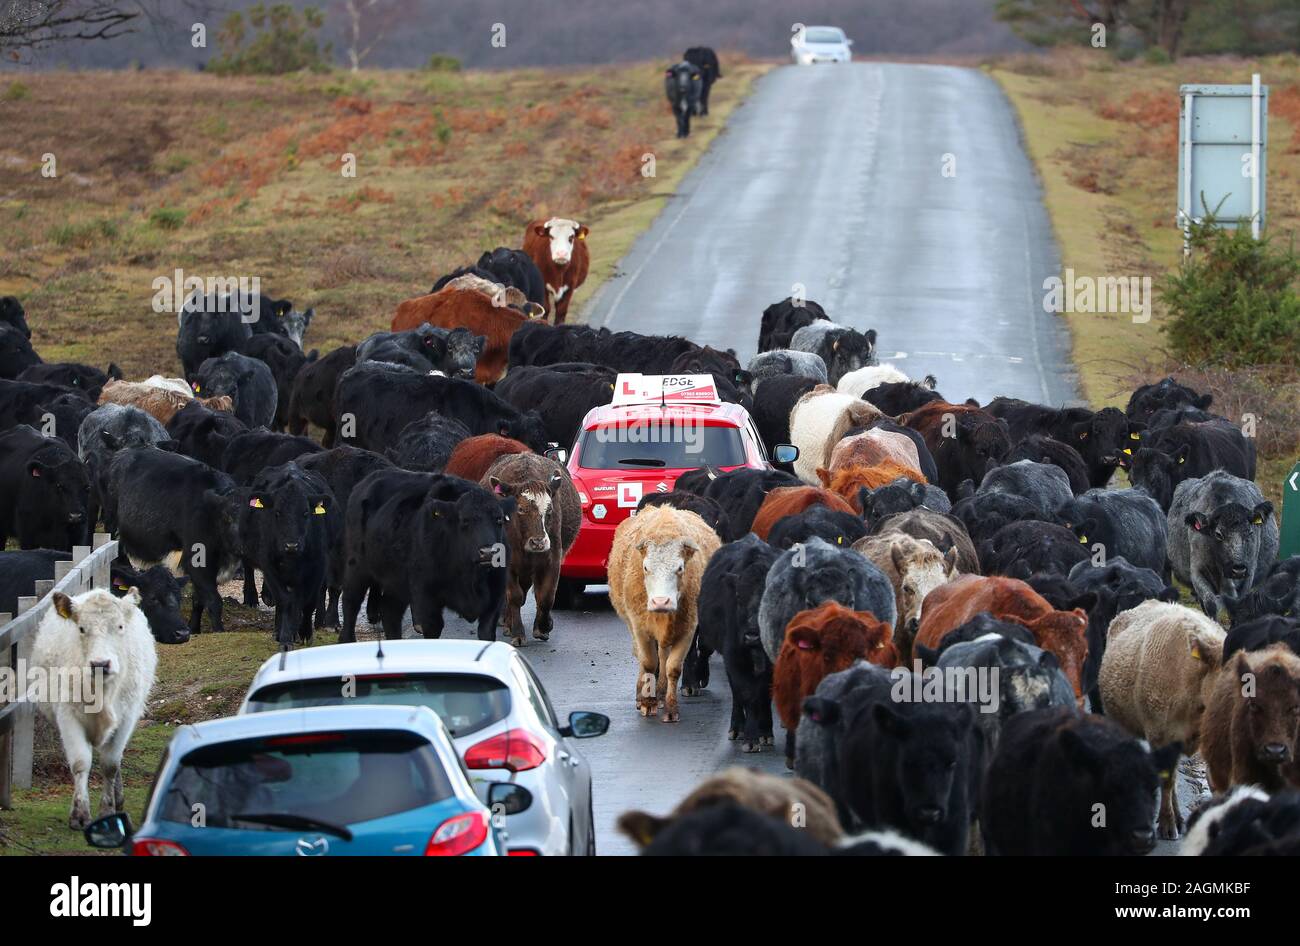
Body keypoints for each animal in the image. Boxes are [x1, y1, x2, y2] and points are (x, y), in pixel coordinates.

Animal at [28, 587, 157, 826]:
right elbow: (81, 762)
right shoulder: (68, 715)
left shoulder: (126, 718)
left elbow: (110, 764)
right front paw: (79, 813)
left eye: (120, 626)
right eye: (81, 628)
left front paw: (107, 809)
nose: (100, 664)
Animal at [104, 444, 244, 636]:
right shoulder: (198, 562)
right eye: (228, 518)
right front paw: (219, 632)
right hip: (113, 530)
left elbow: (198, 599)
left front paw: (194, 628)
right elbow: (213, 600)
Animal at [343, 470, 514, 641]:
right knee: (351, 602)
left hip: (396, 582)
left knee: (390, 611)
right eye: (465, 521)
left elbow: (486, 632)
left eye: (499, 519)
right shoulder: (426, 597)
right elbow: (433, 629)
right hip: (356, 566)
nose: (488, 552)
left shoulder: (496, 595)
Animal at [483, 452, 579, 647]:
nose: (538, 542)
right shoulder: (506, 563)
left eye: (549, 510)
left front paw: (543, 627)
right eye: (520, 509)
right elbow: (514, 596)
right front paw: (518, 633)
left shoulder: (552, 560)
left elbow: (546, 596)